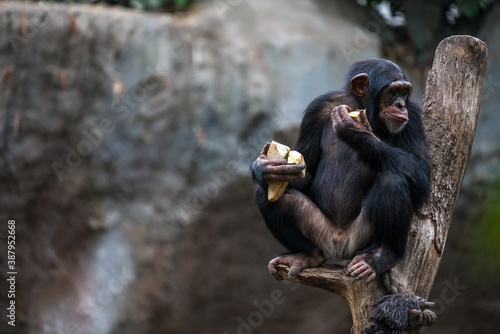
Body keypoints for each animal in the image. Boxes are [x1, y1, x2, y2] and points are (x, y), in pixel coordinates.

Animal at [252, 58, 432, 282]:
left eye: (405, 92)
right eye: (393, 92)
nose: (401, 105)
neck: (362, 107)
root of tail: (338, 253)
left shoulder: (413, 117)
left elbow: (422, 174)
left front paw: (356, 132)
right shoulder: (317, 108)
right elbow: (306, 166)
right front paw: (264, 168)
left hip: (358, 241)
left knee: (393, 180)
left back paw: (380, 256)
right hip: (322, 235)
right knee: (267, 194)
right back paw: (306, 255)